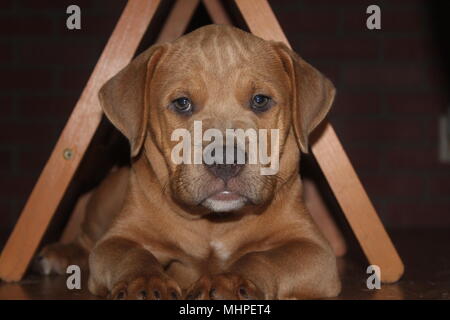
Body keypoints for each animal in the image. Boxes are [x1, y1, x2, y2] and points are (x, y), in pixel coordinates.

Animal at [38, 25, 340, 300]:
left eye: (260, 100)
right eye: (182, 103)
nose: (225, 160)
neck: (213, 223)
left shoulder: (313, 249)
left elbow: (262, 258)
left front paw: (230, 281)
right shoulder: (118, 239)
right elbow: (133, 255)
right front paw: (145, 281)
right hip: (106, 198)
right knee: (86, 239)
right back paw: (59, 253)